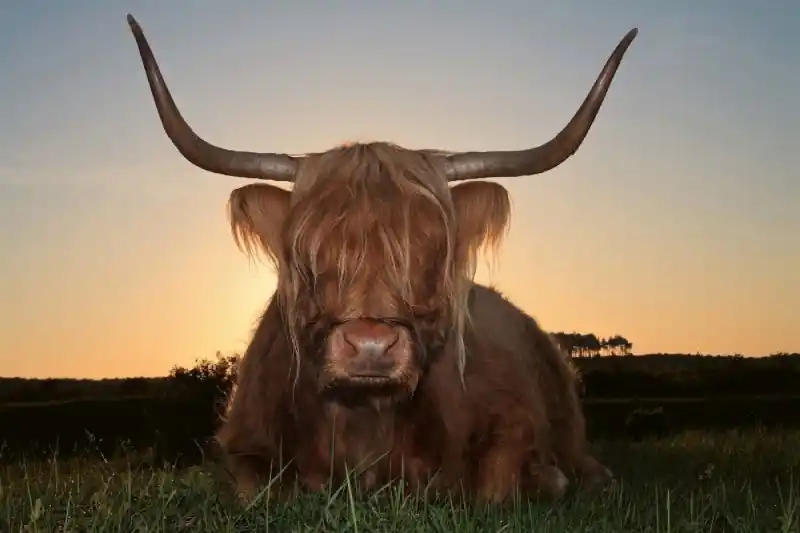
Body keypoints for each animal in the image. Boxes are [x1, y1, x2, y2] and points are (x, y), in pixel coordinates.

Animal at [125, 14, 637, 504]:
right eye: (309, 252)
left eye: (430, 248)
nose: (370, 345)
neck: (366, 424)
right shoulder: (243, 443)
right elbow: (258, 490)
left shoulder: (513, 423)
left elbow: (498, 484)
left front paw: (550, 479)